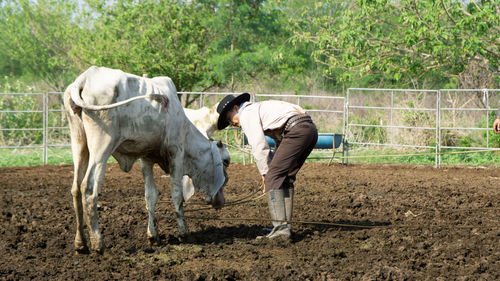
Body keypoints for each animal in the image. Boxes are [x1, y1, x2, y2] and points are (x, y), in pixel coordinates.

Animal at [63, 66, 232, 253]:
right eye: (226, 161)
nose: (222, 201)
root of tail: (85, 77)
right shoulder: (176, 154)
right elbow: (177, 196)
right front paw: (184, 233)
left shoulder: (146, 159)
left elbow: (150, 196)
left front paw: (153, 235)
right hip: (102, 146)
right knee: (88, 189)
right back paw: (98, 243)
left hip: (79, 142)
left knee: (76, 188)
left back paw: (81, 243)